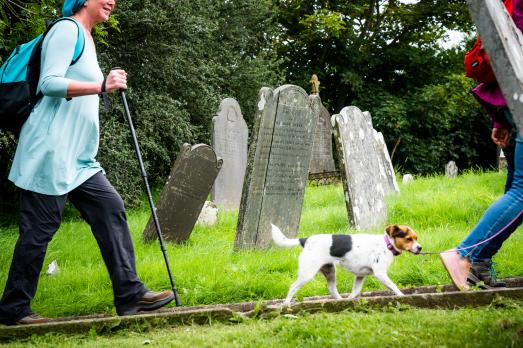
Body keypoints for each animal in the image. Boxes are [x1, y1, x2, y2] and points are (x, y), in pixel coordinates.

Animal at [272, 224, 424, 304]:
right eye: (408, 239)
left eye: (416, 238)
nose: (420, 248)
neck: (387, 244)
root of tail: (305, 240)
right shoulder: (380, 274)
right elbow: (394, 286)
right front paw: (403, 297)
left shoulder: (360, 276)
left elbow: (355, 291)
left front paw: (350, 300)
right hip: (307, 273)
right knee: (293, 287)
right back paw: (286, 304)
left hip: (330, 271)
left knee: (332, 289)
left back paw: (340, 301)